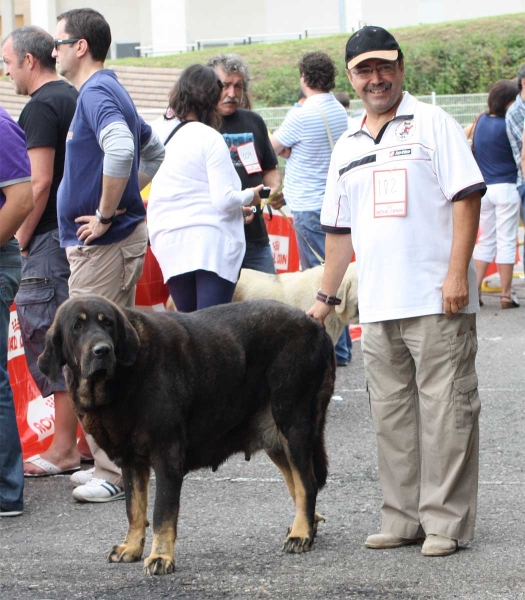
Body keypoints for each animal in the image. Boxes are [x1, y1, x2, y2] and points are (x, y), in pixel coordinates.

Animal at [36, 296, 334, 576]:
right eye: (77, 327)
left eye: (107, 323)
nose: (102, 350)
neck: (121, 382)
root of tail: (314, 326)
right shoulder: (131, 463)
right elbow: (134, 509)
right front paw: (131, 547)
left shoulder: (167, 457)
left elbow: (161, 513)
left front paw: (160, 557)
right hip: (278, 441)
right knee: (297, 483)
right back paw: (306, 526)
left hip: (293, 424)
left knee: (306, 483)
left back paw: (301, 533)